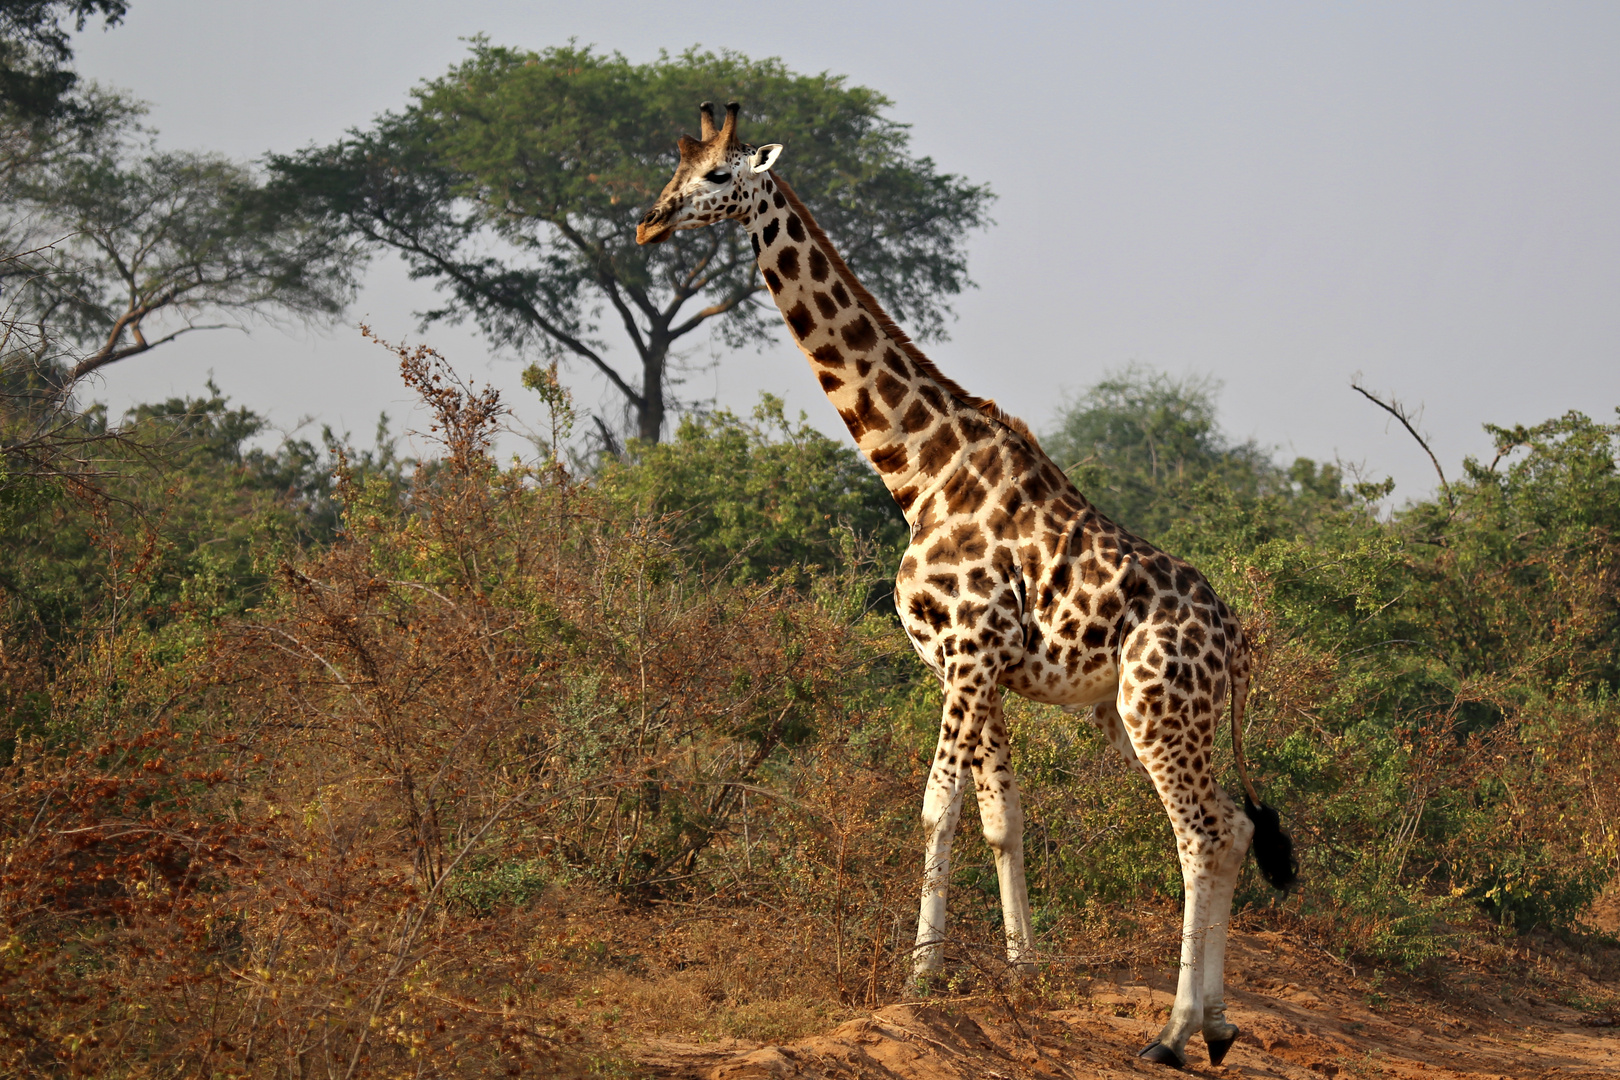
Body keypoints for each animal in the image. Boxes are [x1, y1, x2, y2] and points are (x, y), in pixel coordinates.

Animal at [637, 102, 1297, 1068]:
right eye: (673, 172)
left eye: (718, 178)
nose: (648, 224)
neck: (919, 470)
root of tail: (1236, 647)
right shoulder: (972, 664)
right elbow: (1000, 815)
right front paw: (1024, 971)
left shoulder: (970, 650)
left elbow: (936, 808)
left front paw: (920, 976)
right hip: (1185, 716)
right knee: (1239, 828)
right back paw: (1214, 1026)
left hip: (1155, 708)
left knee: (1202, 836)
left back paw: (1172, 1033)